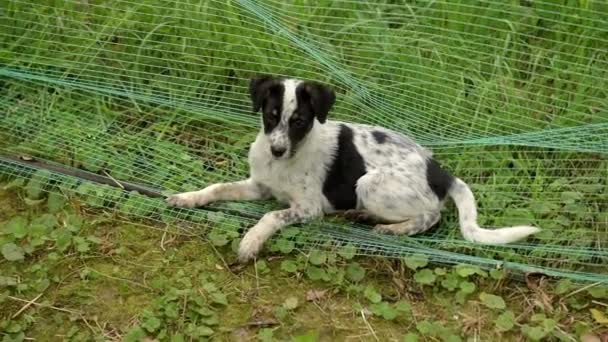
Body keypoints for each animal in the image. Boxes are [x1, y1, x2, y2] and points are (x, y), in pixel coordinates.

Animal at [165, 75, 536, 262]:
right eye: (271, 116)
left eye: (299, 121)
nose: (277, 150)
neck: (285, 160)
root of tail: (441, 172)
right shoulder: (259, 185)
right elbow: (217, 188)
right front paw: (188, 197)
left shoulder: (308, 208)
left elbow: (270, 216)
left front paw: (250, 243)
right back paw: (361, 216)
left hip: (370, 183)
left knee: (431, 217)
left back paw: (390, 229)